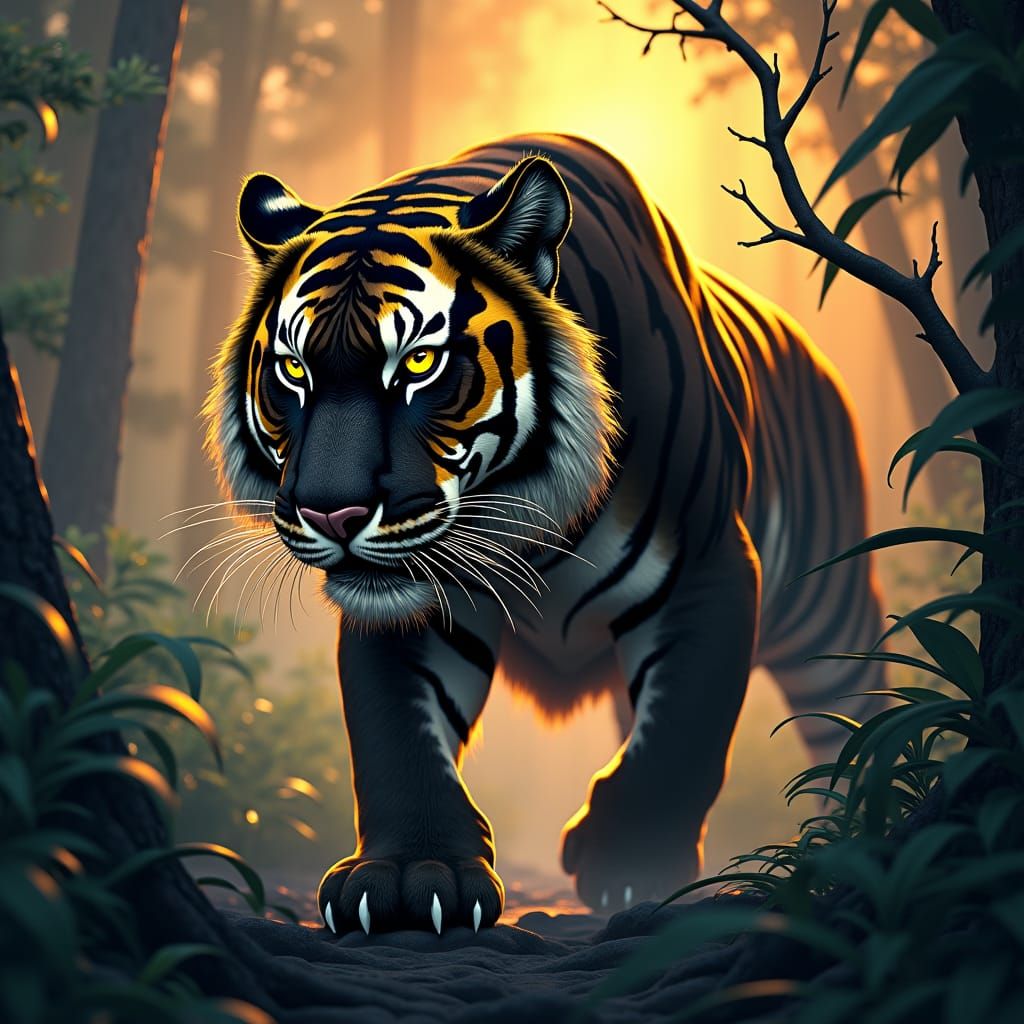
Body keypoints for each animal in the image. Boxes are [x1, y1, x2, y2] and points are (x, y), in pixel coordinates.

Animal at [205, 133, 885, 935]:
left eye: (419, 362)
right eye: (292, 370)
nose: (330, 514)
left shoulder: (708, 566)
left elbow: (682, 731)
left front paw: (631, 864)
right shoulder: (413, 606)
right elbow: (395, 735)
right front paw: (414, 873)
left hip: (830, 614)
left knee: (857, 711)